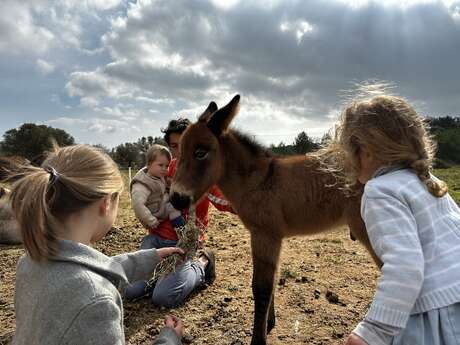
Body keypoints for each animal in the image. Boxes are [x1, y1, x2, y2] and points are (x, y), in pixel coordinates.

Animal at [171, 94, 380, 344]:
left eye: (200, 152)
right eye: (179, 152)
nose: (176, 199)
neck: (258, 181)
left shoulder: (265, 235)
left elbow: (261, 289)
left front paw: (258, 340)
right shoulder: (271, 238)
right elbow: (271, 283)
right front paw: (270, 323)